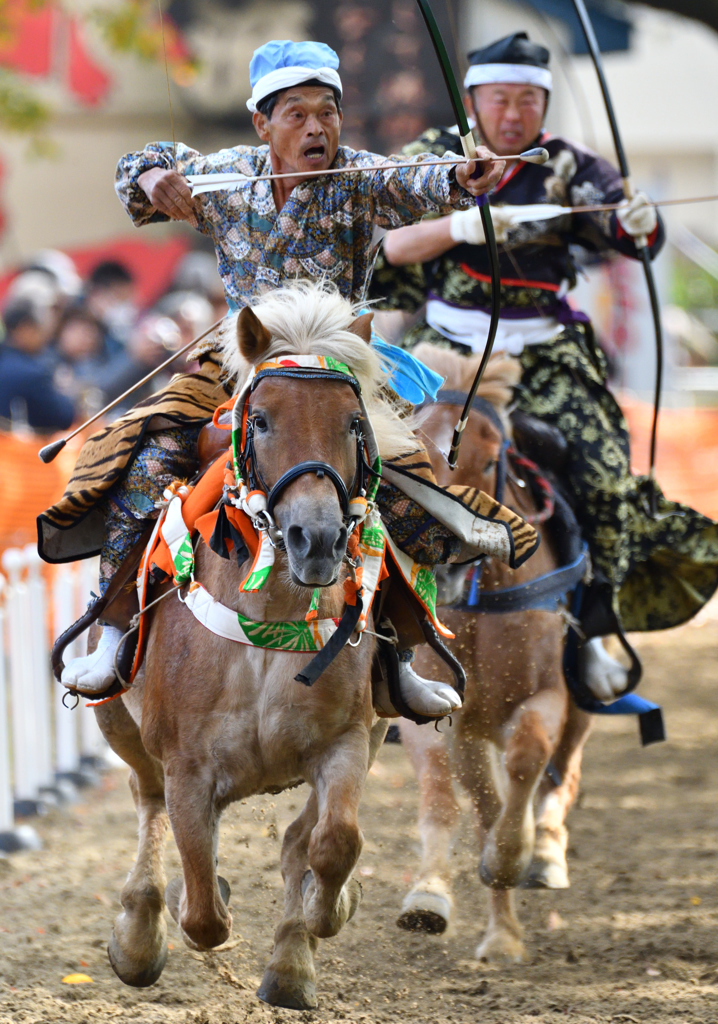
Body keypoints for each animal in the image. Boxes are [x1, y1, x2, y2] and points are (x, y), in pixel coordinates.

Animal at [91, 284, 419, 1011]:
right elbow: (202, 910)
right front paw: (184, 907)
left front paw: (325, 917)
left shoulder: (349, 740)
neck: (271, 629)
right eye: (262, 419)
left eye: (354, 424)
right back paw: (138, 934)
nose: (315, 539)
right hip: (119, 723)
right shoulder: (186, 766)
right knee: (145, 800)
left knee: (299, 839)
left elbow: (332, 842)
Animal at [395, 348, 589, 962]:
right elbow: (442, 795)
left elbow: (529, 757)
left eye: (486, 462)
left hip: (581, 702)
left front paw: (512, 857)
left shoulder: (547, 694)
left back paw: (543, 856)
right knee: (482, 803)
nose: (444, 565)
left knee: (561, 772)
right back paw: (501, 933)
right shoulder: (435, 708)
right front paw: (429, 895)